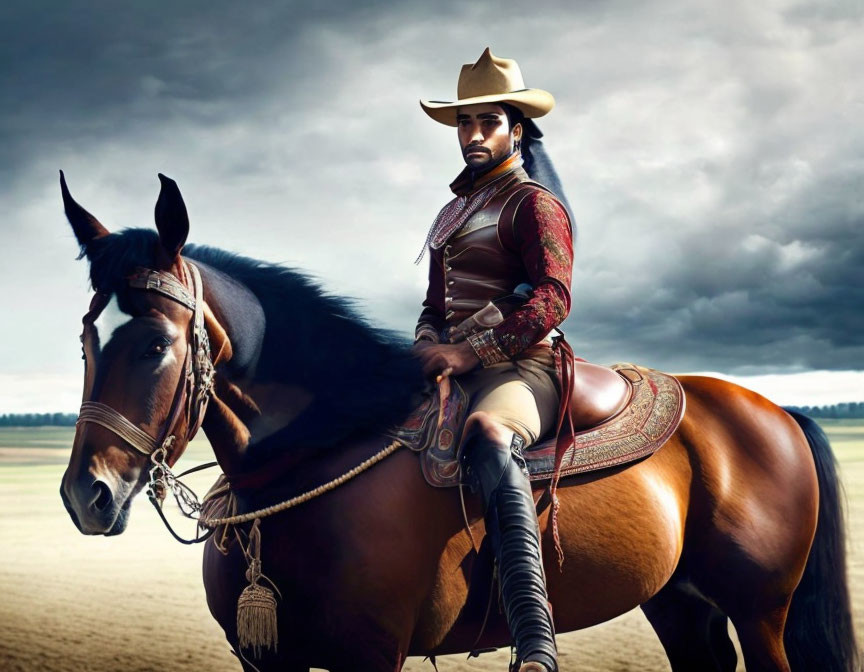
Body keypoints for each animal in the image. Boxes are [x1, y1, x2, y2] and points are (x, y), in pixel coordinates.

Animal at [59, 175, 856, 672]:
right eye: (87, 340)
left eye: (156, 345)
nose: (84, 497)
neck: (307, 466)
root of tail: (778, 413)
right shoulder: (264, 660)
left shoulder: (369, 657)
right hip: (678, 603)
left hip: (761, 611)